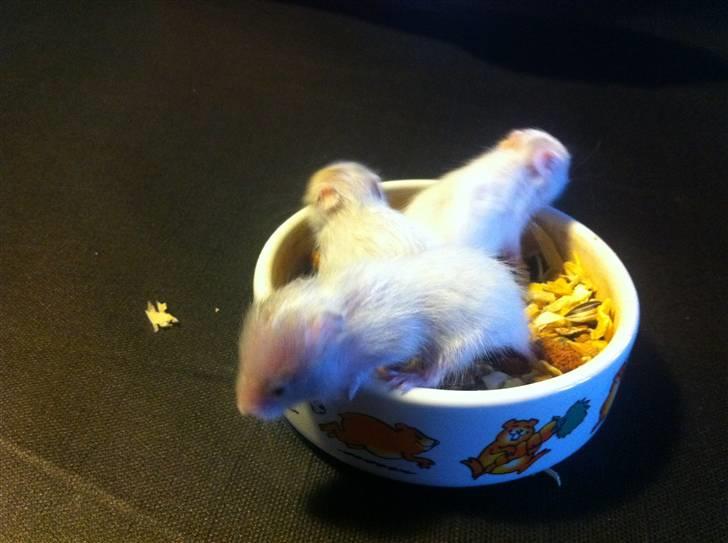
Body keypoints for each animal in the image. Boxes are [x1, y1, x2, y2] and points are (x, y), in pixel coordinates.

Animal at [236, 247, 531, 420]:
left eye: (280, 389)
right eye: (243, 366)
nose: (244, 411)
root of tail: (518, 325)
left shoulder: (398, 341)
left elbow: (369, 368)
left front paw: (357, 386)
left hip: (466, 342)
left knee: (436, 372)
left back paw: (405, 379)